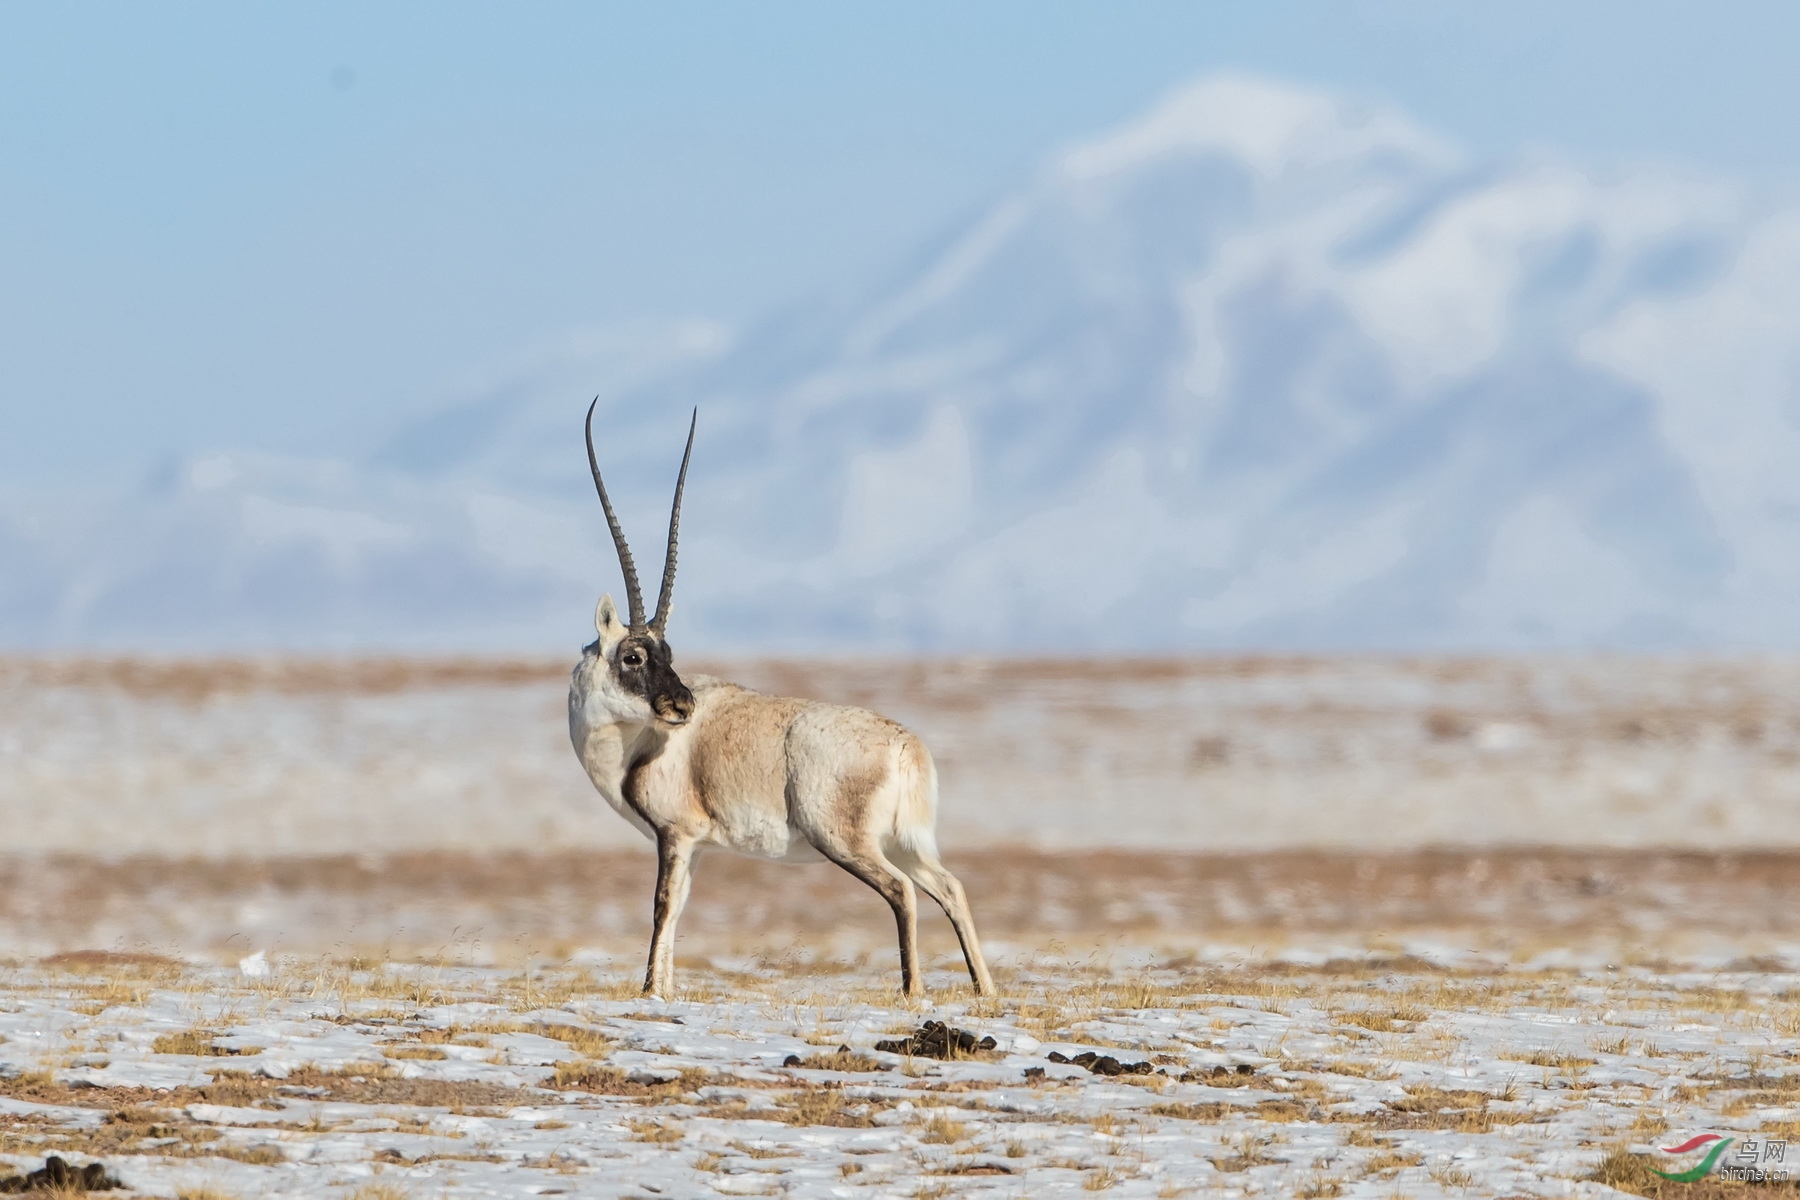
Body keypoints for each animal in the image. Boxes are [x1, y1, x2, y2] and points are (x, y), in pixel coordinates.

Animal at [568, 399, 1000, 1000]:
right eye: (634, 655)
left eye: (663, 652)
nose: (682, 707)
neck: (636, 744)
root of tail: (906, 748)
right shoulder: (695, 847)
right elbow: (679, 910)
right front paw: (667, 989)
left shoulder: (675, 835)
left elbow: (661, 907)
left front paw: (651, 990)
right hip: (907, 844)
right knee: (950, 887)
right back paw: (985, 990)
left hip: (848, 843)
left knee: (902, 891)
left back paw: (912, 991)